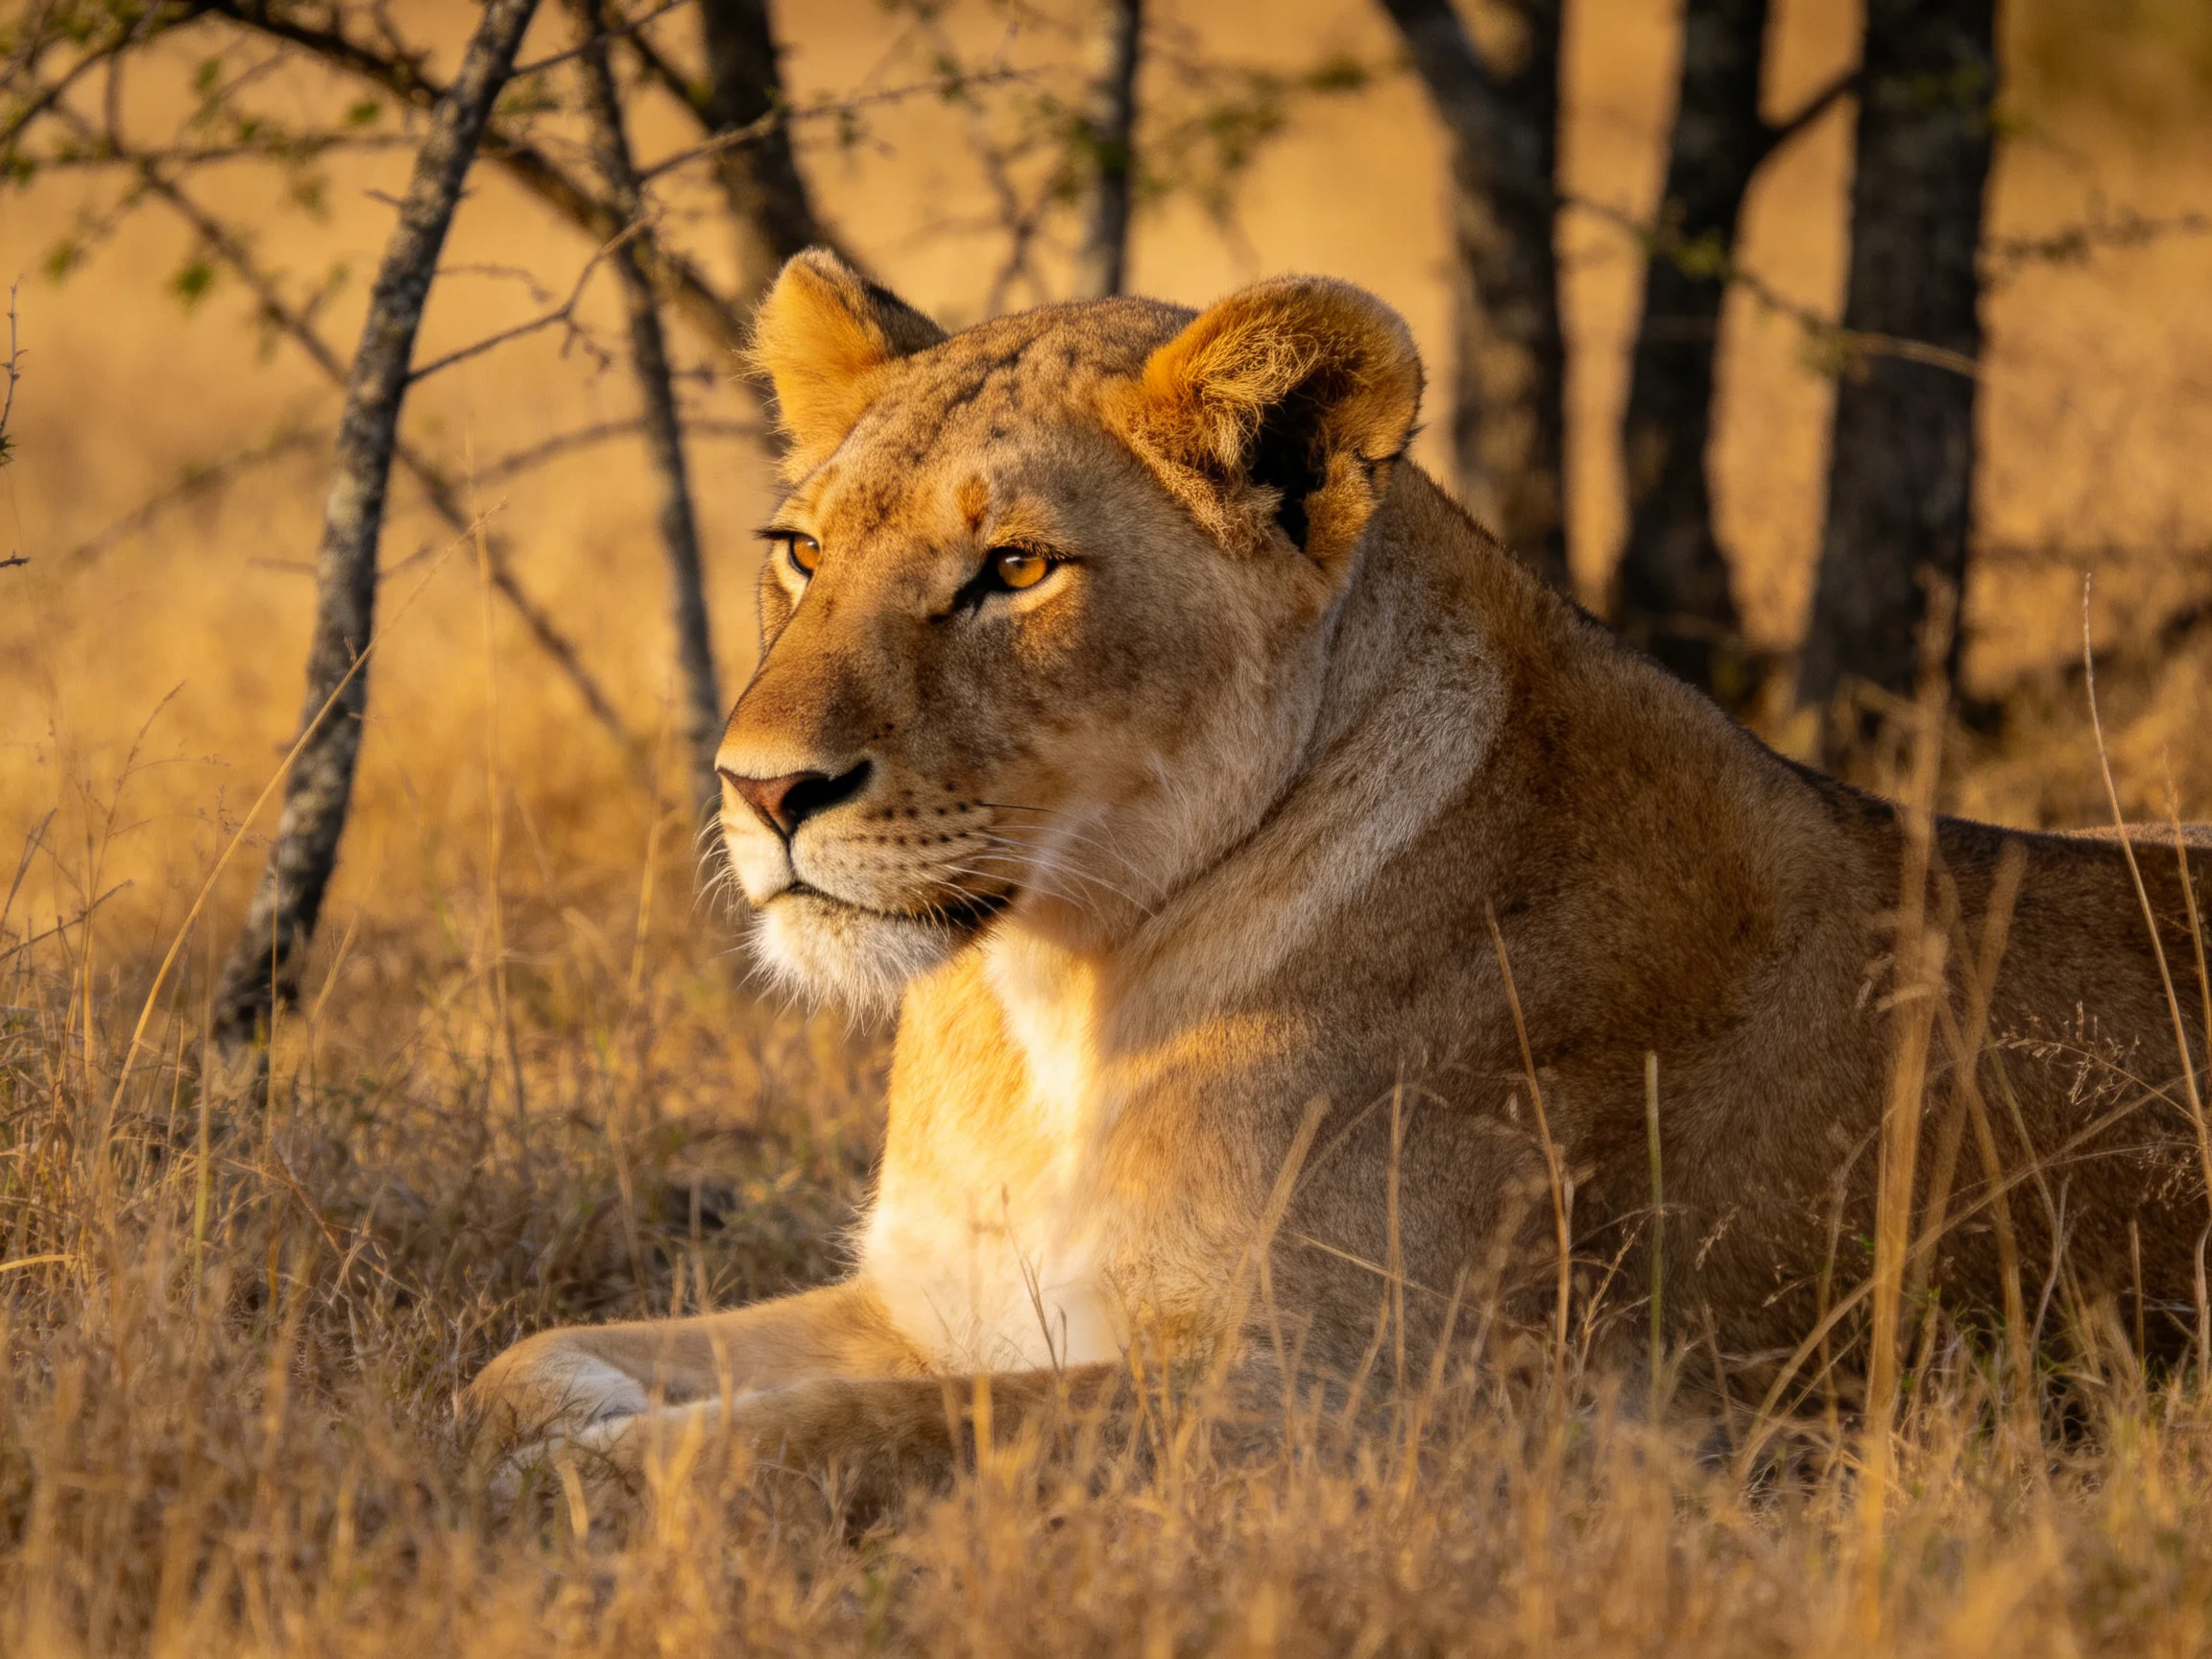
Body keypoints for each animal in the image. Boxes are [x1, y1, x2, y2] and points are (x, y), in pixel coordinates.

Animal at [470, 249, 2212, 1499]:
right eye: (802, 550)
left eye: (1014, 568)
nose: (761, 789)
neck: (1053, 990)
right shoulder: (925, 1303)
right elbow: (522, 1361)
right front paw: (508, 1437)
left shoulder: (1369, 1413)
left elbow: (875, 1434)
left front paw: (572, 1490)